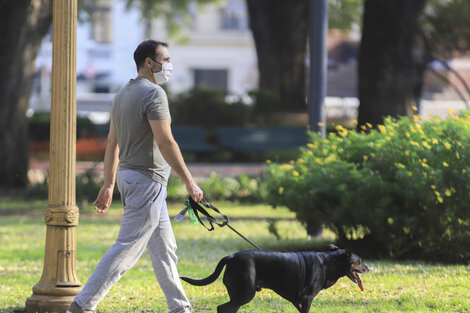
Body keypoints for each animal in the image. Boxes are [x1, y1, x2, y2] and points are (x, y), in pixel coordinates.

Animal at [180, 245, 368, 310]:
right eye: (359, 261)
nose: (368, 268)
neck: (328, 263)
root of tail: (231, 257)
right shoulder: (307, 298)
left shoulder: (296, 299)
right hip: (245, 294)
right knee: (222, 308)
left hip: (236, 295)